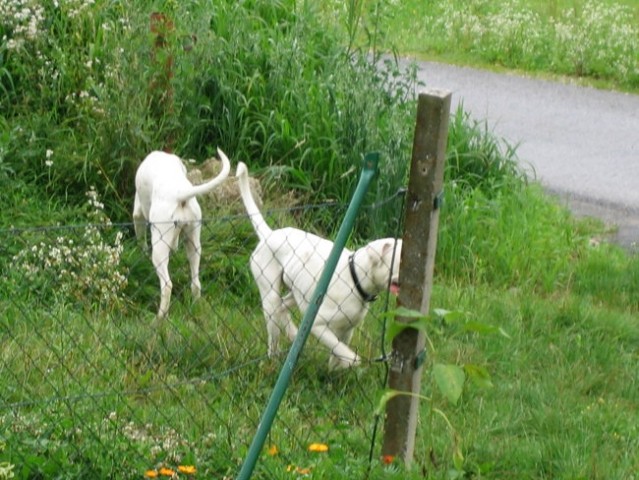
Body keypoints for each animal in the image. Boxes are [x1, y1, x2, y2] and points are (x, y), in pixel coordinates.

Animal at [132, 148, 230, 316]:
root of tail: (180, 193)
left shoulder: (138, 214)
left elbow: (141, 240)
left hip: (159, 250)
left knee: (167, 286)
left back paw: (159, 318)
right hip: (194, 244)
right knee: (196, 283)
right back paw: (196, 306)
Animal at [238, 162, 402, 372]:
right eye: (399, 260)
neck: (355, 277)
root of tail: (269, 234)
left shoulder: (346, 330)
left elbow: (337, 352)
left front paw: (334, 371)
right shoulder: (318, 325)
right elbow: (346, 354)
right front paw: (348, 362)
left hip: (298, 295)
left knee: (283, 308)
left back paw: (292, 333)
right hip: (270, 294)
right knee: (273, 328)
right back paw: (274, 356)